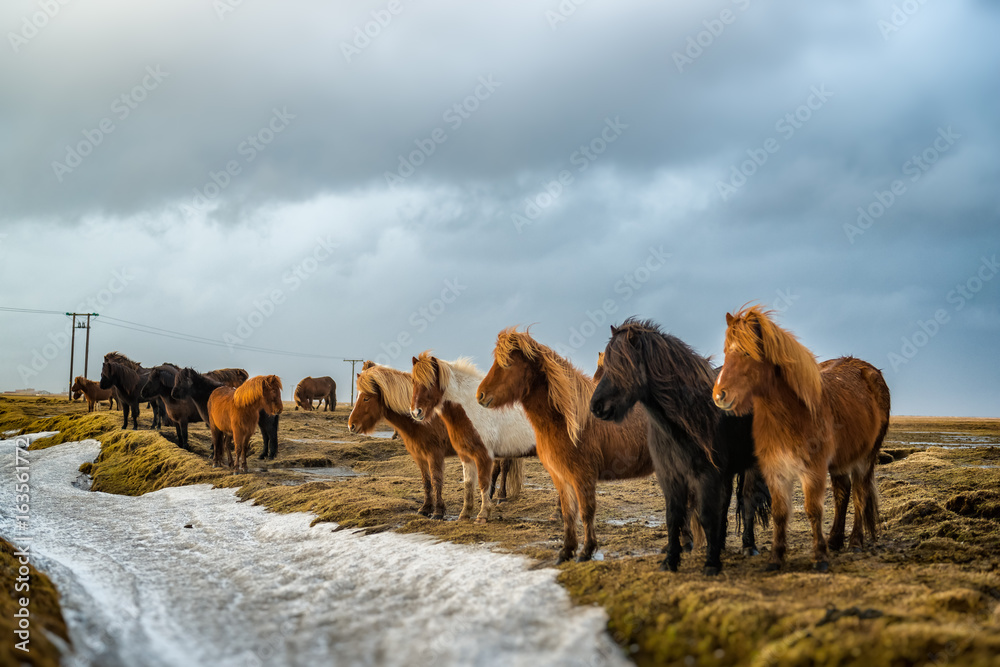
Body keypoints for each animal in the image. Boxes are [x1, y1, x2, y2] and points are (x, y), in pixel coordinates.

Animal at [348, 363, 458, 519]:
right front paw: (425, 508)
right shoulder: (420, 456)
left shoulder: (435, 455)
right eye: (357, 396)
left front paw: (438, 512)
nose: (351, 425)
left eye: (366, 398)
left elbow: (436, 480)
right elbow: (426, 481)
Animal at [410, 352, 534, 524]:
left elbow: (483, 482)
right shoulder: (465, 455)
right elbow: (468, 484)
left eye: (430, 383)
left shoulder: (484, 456)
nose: (416, 412)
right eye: (413, 381)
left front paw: (483, 515)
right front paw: (464, 514)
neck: (472, 410)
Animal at [476, 329, 654, 563]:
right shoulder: (560, 475)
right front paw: (566, 551)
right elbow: (569, 512)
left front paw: (587, 551)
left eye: (508, 364)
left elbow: (586, 512)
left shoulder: (583, 477)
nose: (479, 395)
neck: (567, 421)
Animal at [589, 318, 771, 575]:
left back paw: (748, 546)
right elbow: (674, 517)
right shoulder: (670, 476)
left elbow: (707, 515)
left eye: (622, 365)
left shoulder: (705, 475)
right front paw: (671, 561)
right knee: (726, 503)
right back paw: (722, 545)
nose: (596, 406)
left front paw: (711, 564)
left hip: (751, 466)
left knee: (748, 501)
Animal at [713, 306, 891, 572]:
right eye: (725, 352)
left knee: (860, 495)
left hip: (865, 459)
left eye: (745, 352)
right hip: (840, 461)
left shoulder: (813, 469)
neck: (791, 415)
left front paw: (819, 558)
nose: (719, 395)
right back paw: (835, 540)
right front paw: (776, 558)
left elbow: (813, 510)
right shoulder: (775, 470)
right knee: (842, 492)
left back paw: (855, 542)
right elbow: (779, 513)